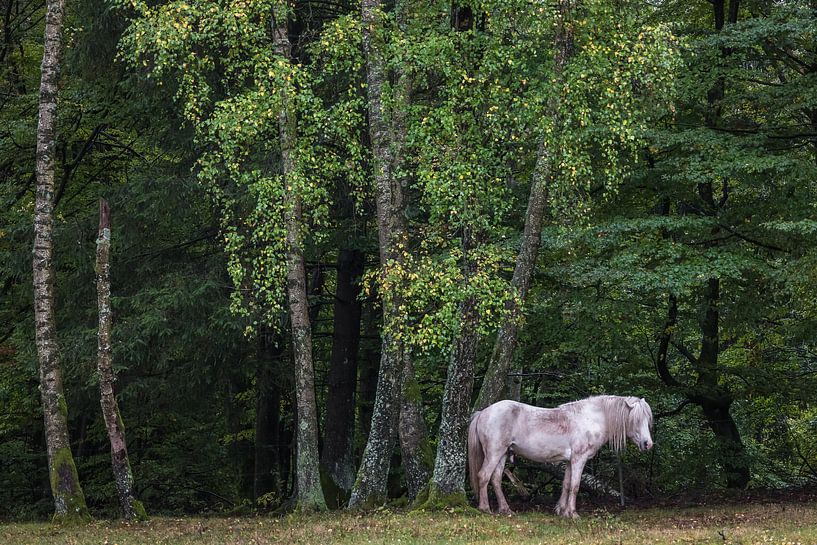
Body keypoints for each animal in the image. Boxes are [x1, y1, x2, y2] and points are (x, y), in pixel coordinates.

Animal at [467, 395, 653, 518]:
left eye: (647, 419)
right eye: (636, 419)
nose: (648, 444)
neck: (589, 419)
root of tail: (483, 412)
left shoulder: (570, 461)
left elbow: (566, 484)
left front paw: (562, 512)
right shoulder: (579, 459)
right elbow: (575, 486)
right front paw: (573, 514)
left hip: (503, 454)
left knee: (496, 479)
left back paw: (506, 510)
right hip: (494, 452)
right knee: (484, 476)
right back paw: (485, 508)